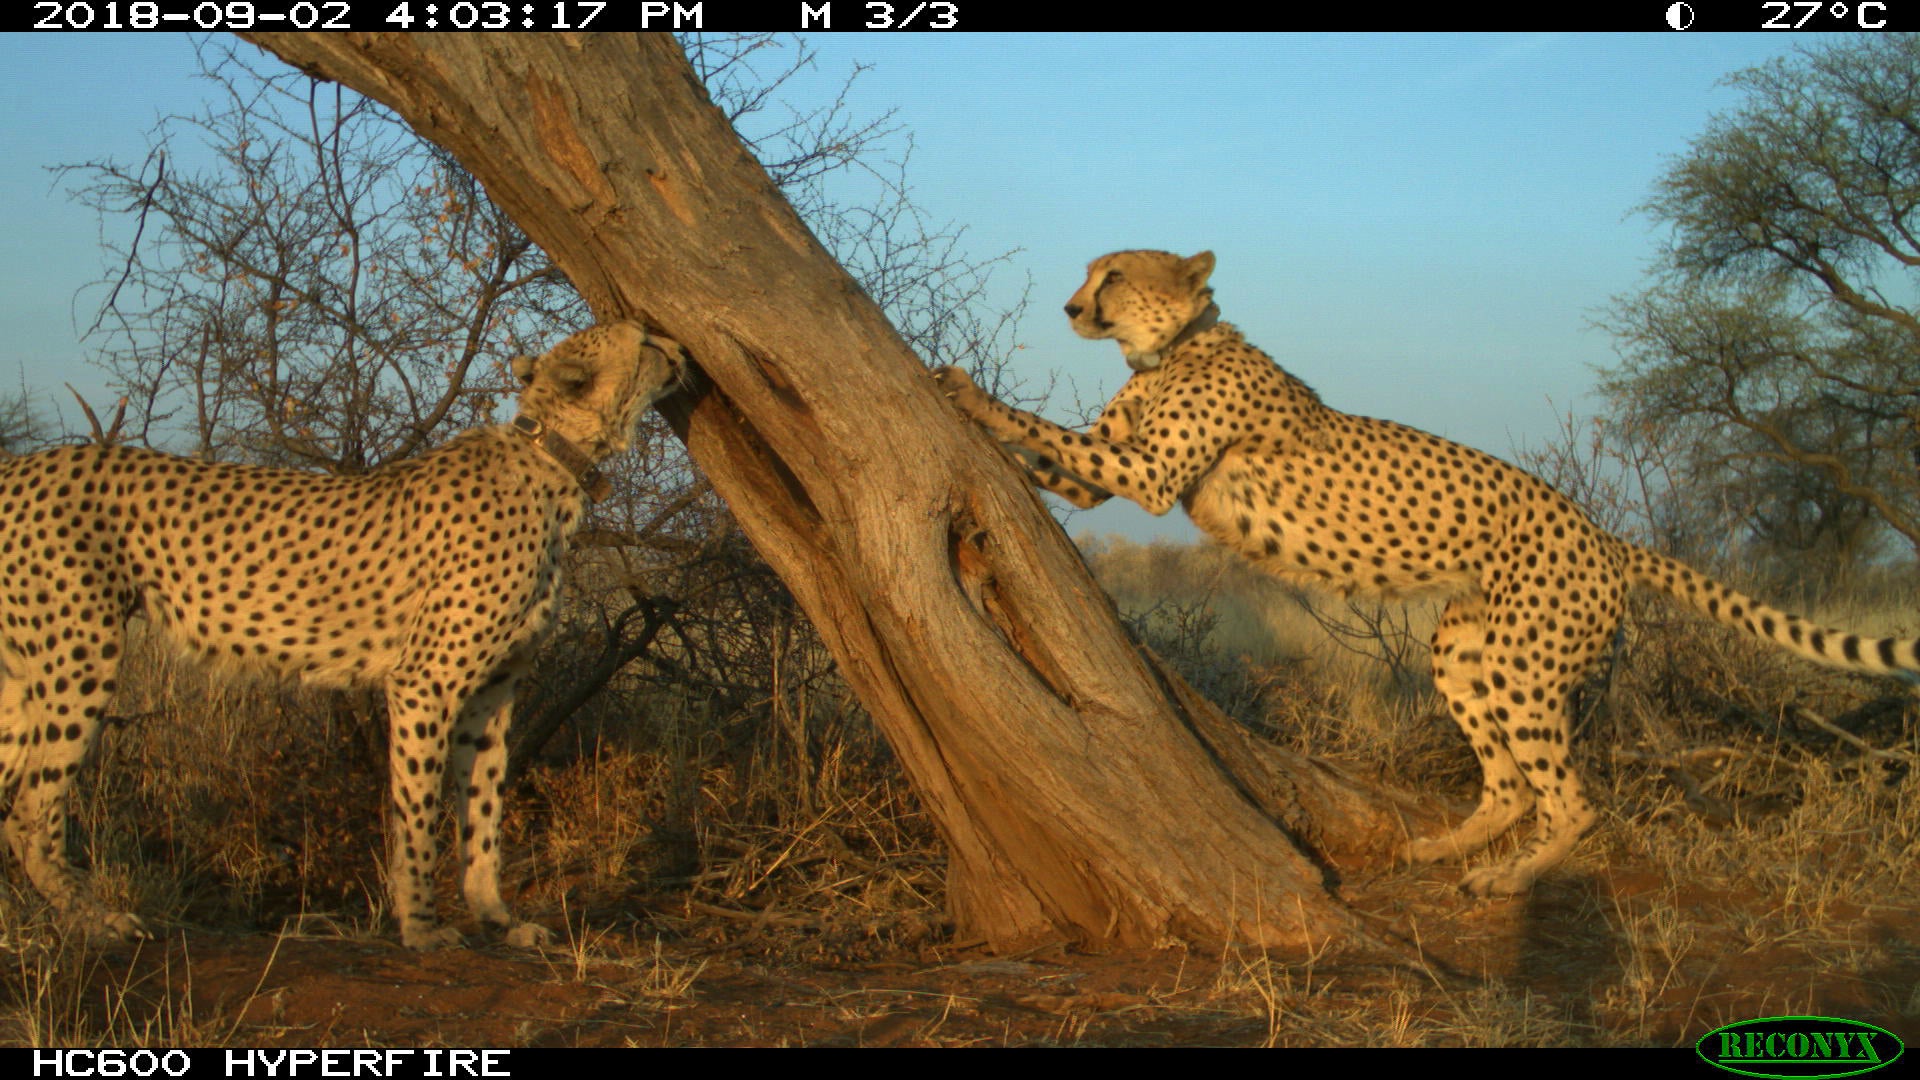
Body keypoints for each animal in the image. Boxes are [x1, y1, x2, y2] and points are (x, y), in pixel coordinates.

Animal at [0, 319, 687, 941]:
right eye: (643, 341)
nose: (680, 349)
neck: (554, 459)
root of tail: (26, 463)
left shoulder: (495, 690)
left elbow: (483, 809)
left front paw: (496, 916)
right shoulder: (425, 682)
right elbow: (417, 812)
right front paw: (422, 927)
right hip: (79, 656)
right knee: (32, 809)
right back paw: (97, 920)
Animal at [936, 251, 1920, 891]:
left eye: (1112, 276)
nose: (1070, 309)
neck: (1174, 349)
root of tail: (1603, 532)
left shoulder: (1145, 475)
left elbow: (1043, 428)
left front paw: (965, 393)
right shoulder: (1110, 472)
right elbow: (1054, 457)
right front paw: (977, 422)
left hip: (1526, 666)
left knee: (1571, 800)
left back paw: (1508, 881)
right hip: (1463, 648)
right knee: (1512, 781)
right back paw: (1441, 850)